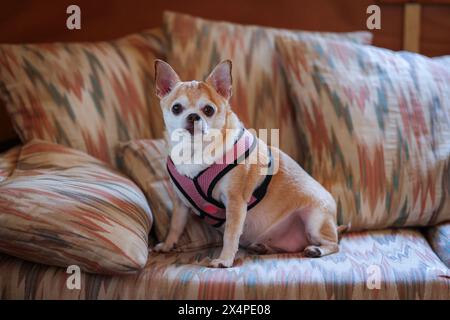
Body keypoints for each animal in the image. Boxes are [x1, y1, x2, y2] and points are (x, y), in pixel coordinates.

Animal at [153, 58, 342, 268]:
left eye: (208, 110)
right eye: (176, 108)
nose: (193, 116)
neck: (195, 151)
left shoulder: (235, 202)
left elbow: (230, 234)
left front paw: (224, 260)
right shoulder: (180, 204)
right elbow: (175, 226)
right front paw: (168, 245)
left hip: (315, 219)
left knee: (334, 244)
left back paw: (316, 249)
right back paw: (262, 247)